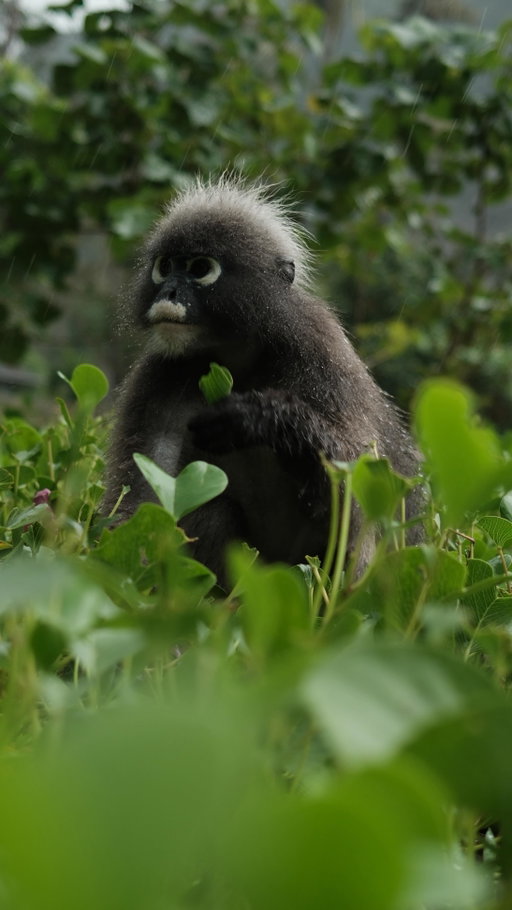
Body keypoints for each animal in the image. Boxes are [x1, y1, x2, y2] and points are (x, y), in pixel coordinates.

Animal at [102, 176, 422, 583]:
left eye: (200, 268)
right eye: (165, 266)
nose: (168, 291)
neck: (237, 355)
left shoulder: (320, 350)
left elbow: (360, 496)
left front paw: (263, 419)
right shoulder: (160, 374)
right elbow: (144, 499)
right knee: (212, 510)